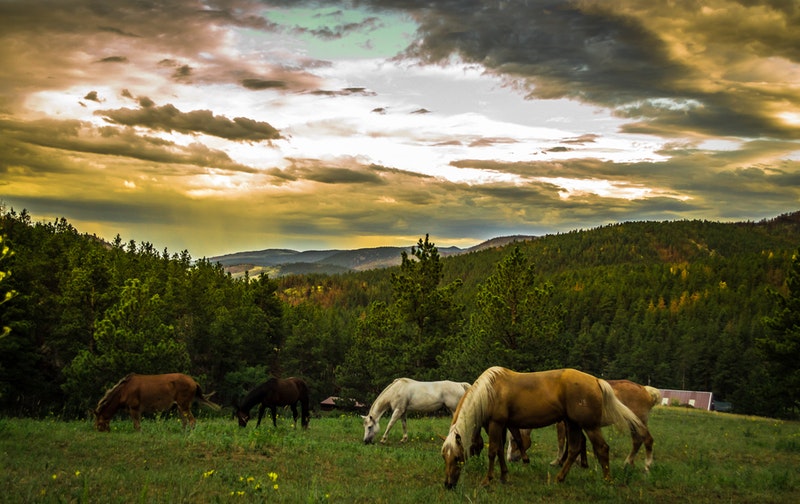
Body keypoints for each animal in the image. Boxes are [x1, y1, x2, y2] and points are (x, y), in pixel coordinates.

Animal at [92, 372, 220, 432]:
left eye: (98, 421)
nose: (99, 430)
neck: (123, 391)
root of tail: (194, 382)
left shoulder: (134, 408)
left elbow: (137, 425)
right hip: (180, 406)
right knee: (185, 422)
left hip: (184, 405)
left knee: (192, 421)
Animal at [510, 380, 660, 470]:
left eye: (514, 441)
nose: (511, 459)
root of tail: (646, 390)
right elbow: (580, 441)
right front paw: (581, 462)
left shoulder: (563, 424)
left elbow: (563, 442)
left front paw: (559, 461)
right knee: (637, 441)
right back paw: (628, 463)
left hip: (639, 422)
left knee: (647, 439)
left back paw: (647, 465)